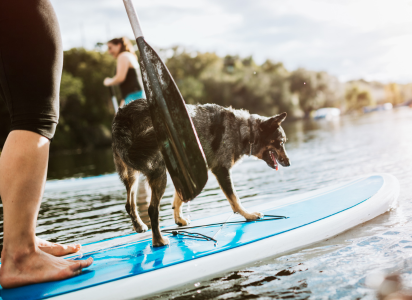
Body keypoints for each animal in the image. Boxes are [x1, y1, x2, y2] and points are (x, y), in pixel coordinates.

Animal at [112, 98, 290, 246]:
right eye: (281, 142)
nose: (288, 163)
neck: (243, 130)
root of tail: (122, 117)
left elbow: (179, 198)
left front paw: (178, 219)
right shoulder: (221, 170)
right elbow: (235, 200)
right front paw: (248, 215)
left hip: (132, 175)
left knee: (129, 204)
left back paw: (139, 225)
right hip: (159, 172)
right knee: (152, 209)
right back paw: (158, 241)